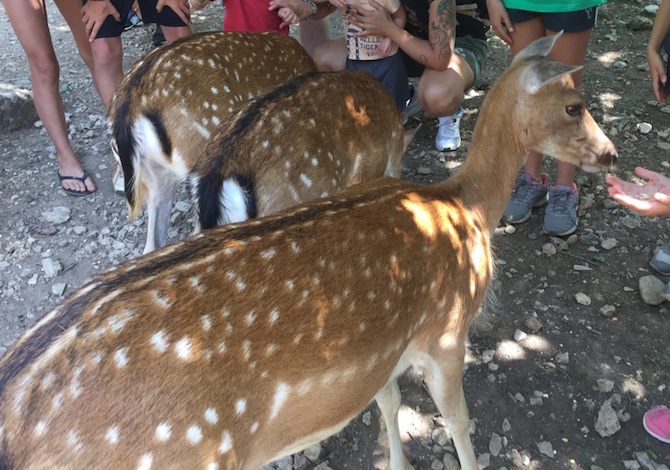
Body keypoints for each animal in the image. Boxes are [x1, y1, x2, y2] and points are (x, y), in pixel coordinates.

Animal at [0, 34, 620, 470]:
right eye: (575, 105)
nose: (611, 155)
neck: (463, 205)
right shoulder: (446, 334)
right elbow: (461, 427)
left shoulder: (384, 350)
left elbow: (388, 404)